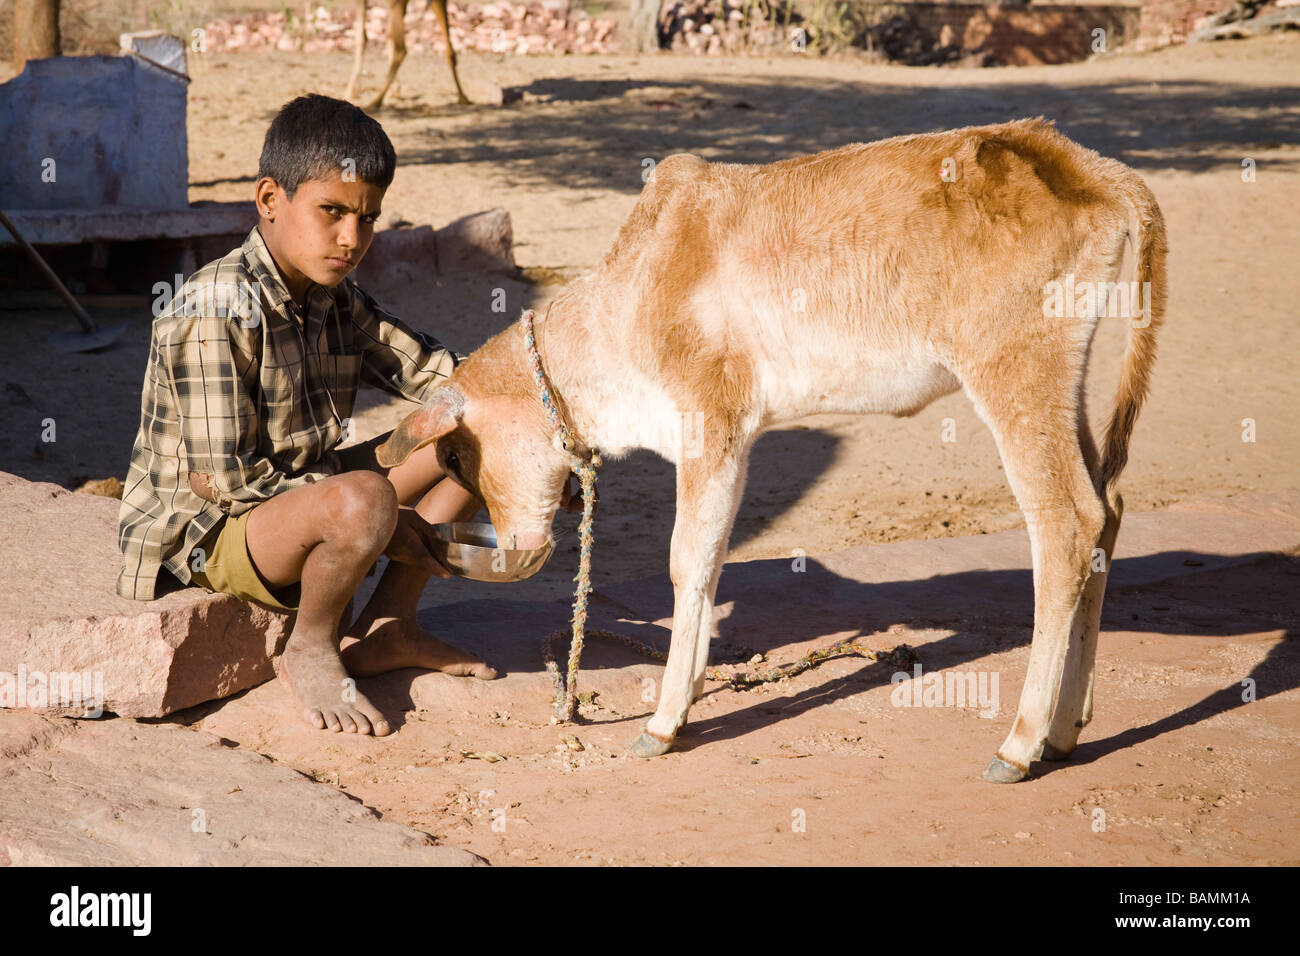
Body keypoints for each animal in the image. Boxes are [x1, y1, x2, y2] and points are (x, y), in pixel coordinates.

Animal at [374, 115, 1170, 780]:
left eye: (456, 457)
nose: (512, 547)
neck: (626, 303)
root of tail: (1084, 163)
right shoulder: (736, 440)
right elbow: (713, 560)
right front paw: (690, 695)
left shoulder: (709, 422)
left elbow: (686, 562)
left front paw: (662, 723)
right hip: (1063, 383)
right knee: (1108, 509)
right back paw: (1066, 729)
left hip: (1014, 375)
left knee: (1067, 523)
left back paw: (1021, 742)